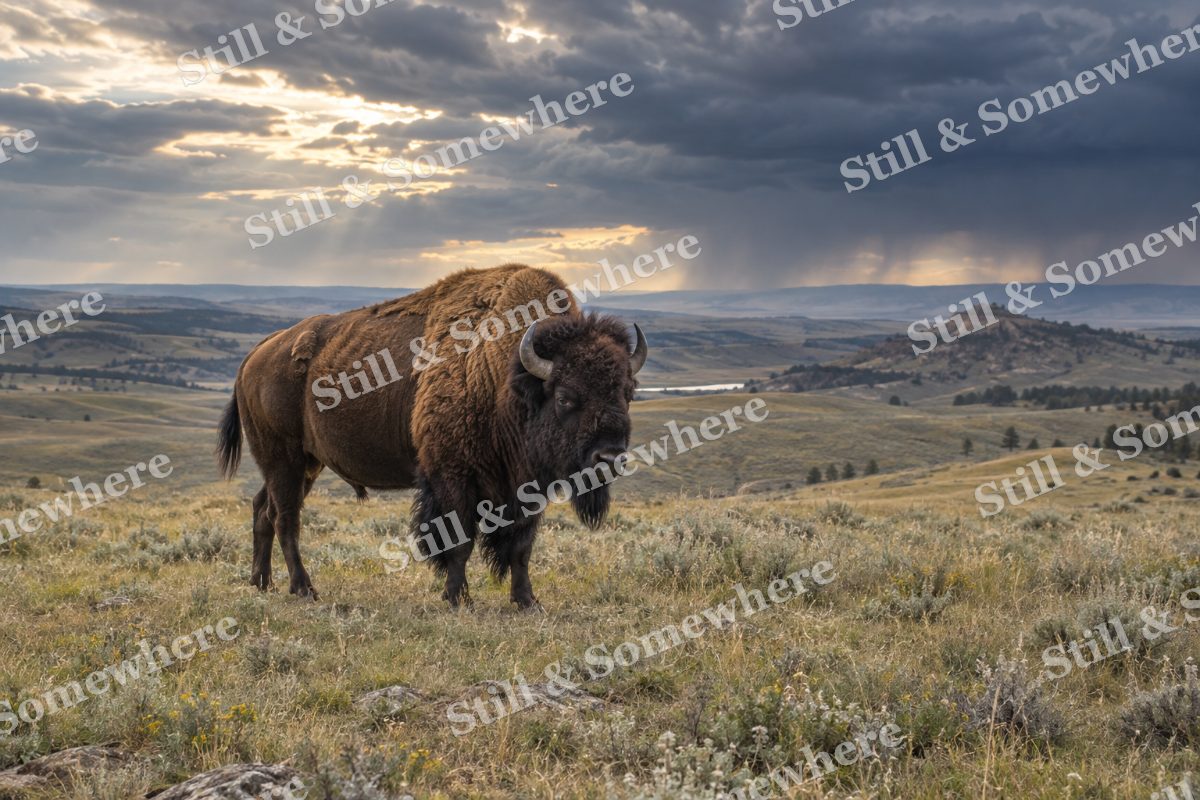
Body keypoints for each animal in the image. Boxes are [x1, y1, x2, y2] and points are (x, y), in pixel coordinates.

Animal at [216, 264, 647, 609]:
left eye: (627, 392)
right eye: (565, 397)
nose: (609, 458)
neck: (503, 374)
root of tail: (257, 354)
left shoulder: (527, 486)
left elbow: (521, 547)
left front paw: (527, 602)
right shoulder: (452, 477)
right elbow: (459, 540)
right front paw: (457, 599)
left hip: (306, 463)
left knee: (263, 509)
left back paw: (261, 583)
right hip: (283, 459)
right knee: (285, 518)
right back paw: (304, 589)